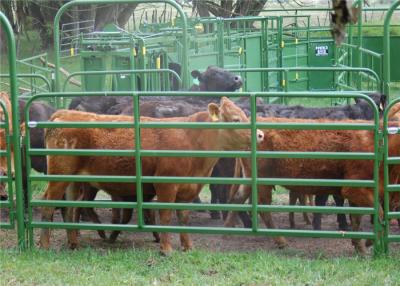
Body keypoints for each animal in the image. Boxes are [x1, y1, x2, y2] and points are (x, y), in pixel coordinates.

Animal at [40, 97, 264, 254]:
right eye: (236, 119)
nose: (260, 134)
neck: (192, 138)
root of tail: (62, 114)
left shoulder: (187, 189)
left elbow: (183, 218)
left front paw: (187, 246)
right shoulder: (166, 185)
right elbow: (165, 215)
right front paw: (166, 249)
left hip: (73, 180)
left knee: (70, 208)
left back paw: (73, 243)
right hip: (59, 175)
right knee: (48, 203)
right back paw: (44, 244)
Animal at [225, 117, 400, 254]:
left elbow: (357, 219)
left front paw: (360, 247)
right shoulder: (354, 189)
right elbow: (379, 214)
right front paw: (369, 242)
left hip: (250, 180)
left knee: (237, 199)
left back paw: (227, 230)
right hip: (262, 182)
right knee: (262, 209)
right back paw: (281, 241)